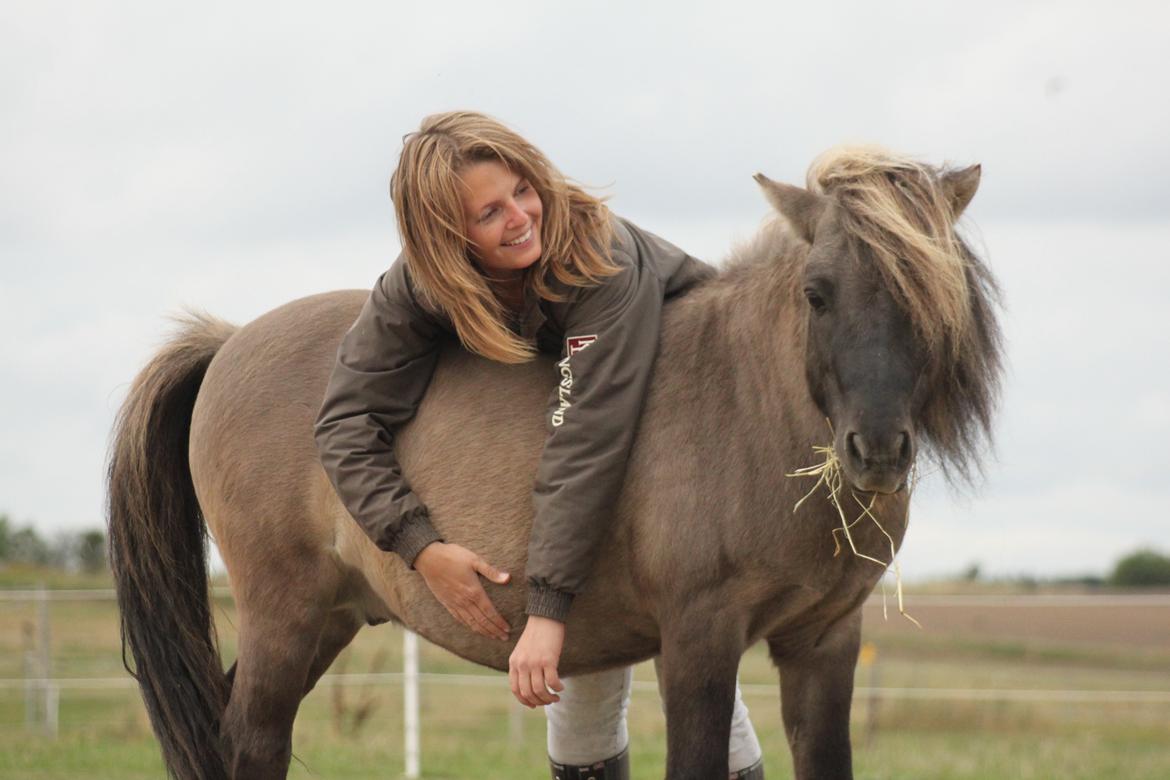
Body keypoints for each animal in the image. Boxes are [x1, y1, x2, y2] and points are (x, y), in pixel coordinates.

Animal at [107, 147, 996, 780]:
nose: (876, 451)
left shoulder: (824, 643)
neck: (748, 403)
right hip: (283, 615)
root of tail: (229, 342)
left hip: (327, 617)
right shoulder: (700, 642)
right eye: (817, 292)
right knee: (251, 741)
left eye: (939, 292)